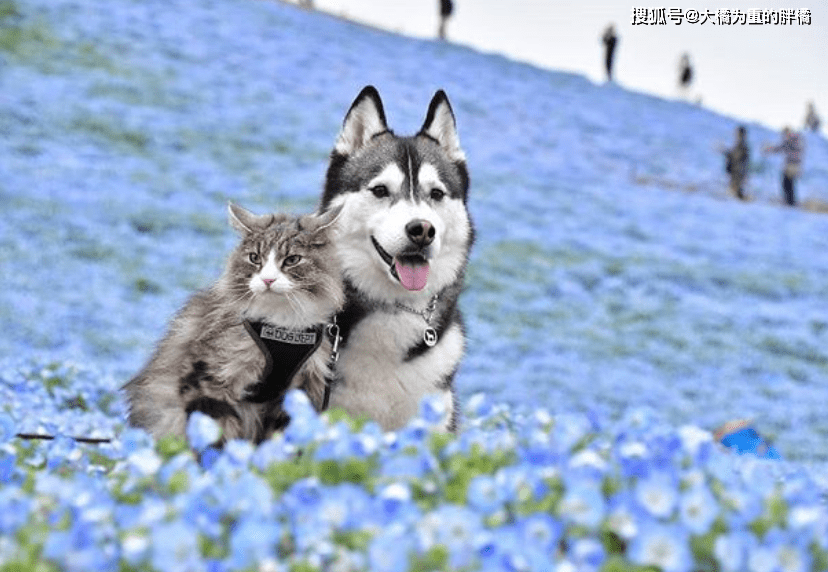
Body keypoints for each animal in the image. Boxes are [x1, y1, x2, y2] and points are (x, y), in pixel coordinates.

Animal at [123, 203, 342, 444]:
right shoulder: (210, 376)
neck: (279, 325)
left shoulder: (298, 390)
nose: (268, 280)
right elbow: (216, 437)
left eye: (292, 259)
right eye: (255, 258)